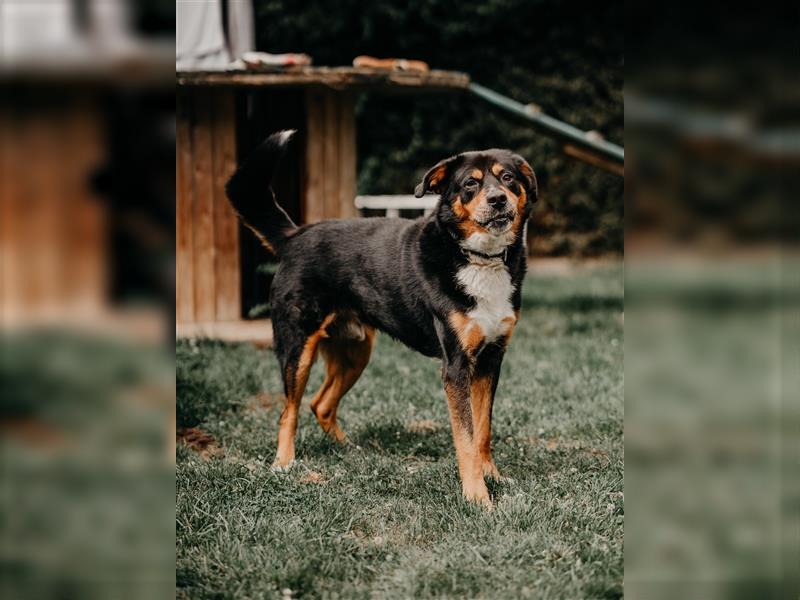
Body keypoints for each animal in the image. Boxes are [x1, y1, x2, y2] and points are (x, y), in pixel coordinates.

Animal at [225, 131, 536, 506]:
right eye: (470, 185)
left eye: (508, 178)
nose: (497, 199)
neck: (479, 259)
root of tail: (295, 237)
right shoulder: (456, 366)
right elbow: (466, 438)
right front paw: (477, 496)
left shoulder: (491, 360)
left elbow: (483, 431)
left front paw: (493, 477)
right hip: (297, 348)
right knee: (289, 411)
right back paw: (284, 463)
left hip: (355, 353)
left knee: (320, 404)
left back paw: (348, 449)